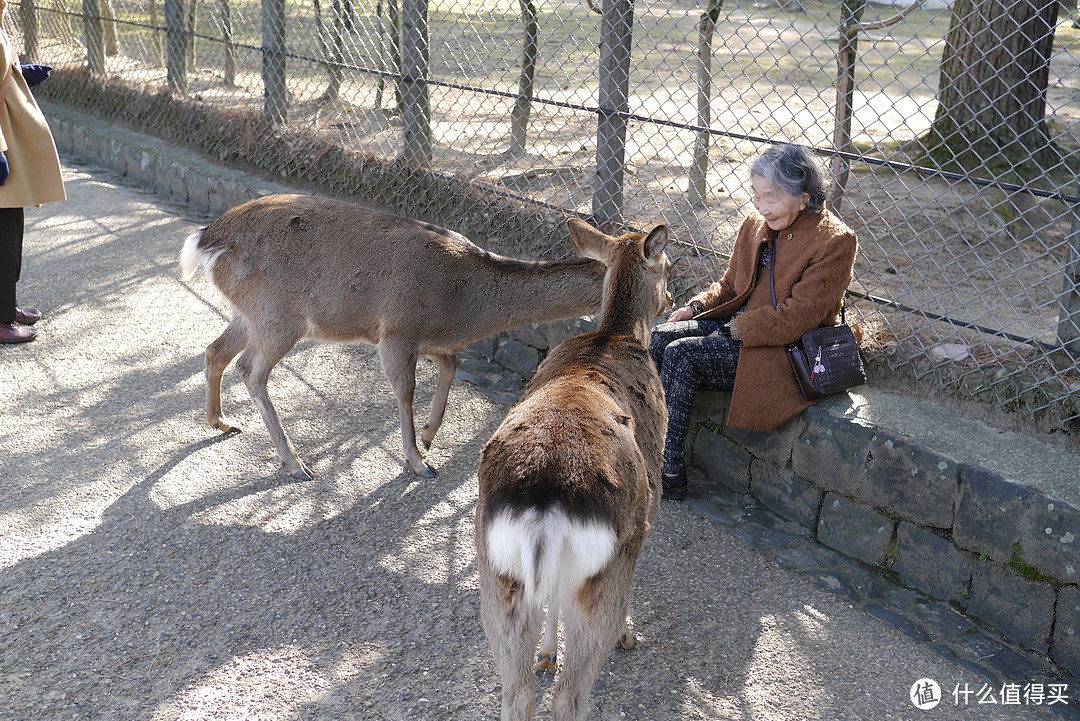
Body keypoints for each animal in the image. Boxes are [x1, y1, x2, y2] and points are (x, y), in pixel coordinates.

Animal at [181, 194, 613, 481]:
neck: (465, 309)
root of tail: (205, 239)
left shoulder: (432, 341)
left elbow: (451, 367)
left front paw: (429, 434)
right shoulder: (398, 330)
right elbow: (406, 390)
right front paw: (418, 460)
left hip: (249, 313)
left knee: (214, 351)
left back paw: (221, 421)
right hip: (278, 315)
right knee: (250, 369)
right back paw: (295, 462)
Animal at [477, 220, 669, 721]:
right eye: (668, 266)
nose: (672, 297)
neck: (613, 334)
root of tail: (546, 501)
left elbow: (553, 600)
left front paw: (547, 654)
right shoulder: (649, 515)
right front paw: (629, 633)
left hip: (496, 573)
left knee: (517, 689)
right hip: (605, 569)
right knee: (569, 696)